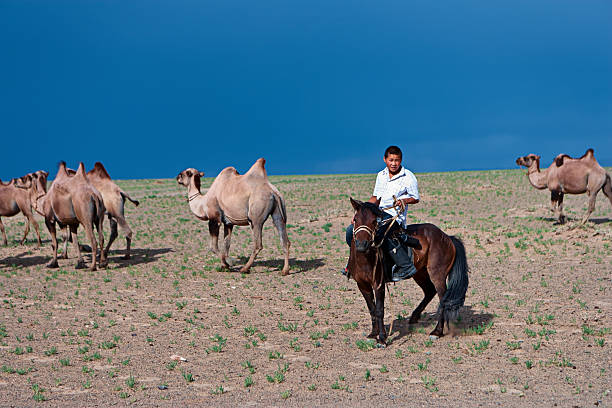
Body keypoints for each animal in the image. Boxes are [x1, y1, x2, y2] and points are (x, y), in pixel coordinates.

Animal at [350, 198, 468, 344]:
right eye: (355, 219)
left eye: (374, 221)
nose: (362, 245)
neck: (365, 258)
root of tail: (447, 237)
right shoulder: (362, 285)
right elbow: (371, 309)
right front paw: (373, 334)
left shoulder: (379, 284)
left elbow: (379, 310)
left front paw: (382, 338)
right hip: (420, 273)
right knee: (430, 291)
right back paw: (414, 317)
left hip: (437, 275)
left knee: (443, 299)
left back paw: (437, 331)